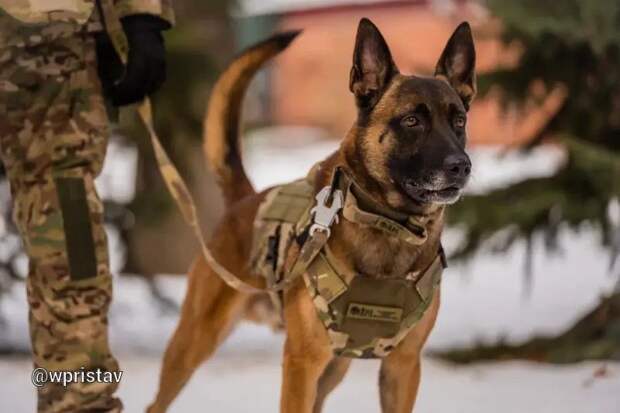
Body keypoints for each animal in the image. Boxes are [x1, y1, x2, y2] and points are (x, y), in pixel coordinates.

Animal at [148, 17, 478, 412]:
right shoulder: (301, 363)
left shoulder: (403, 366)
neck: (389, 225)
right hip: (193, 343)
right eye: (412, 120)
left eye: (459, 121)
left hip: (332, 370)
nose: (461, 166)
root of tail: (246, 199)